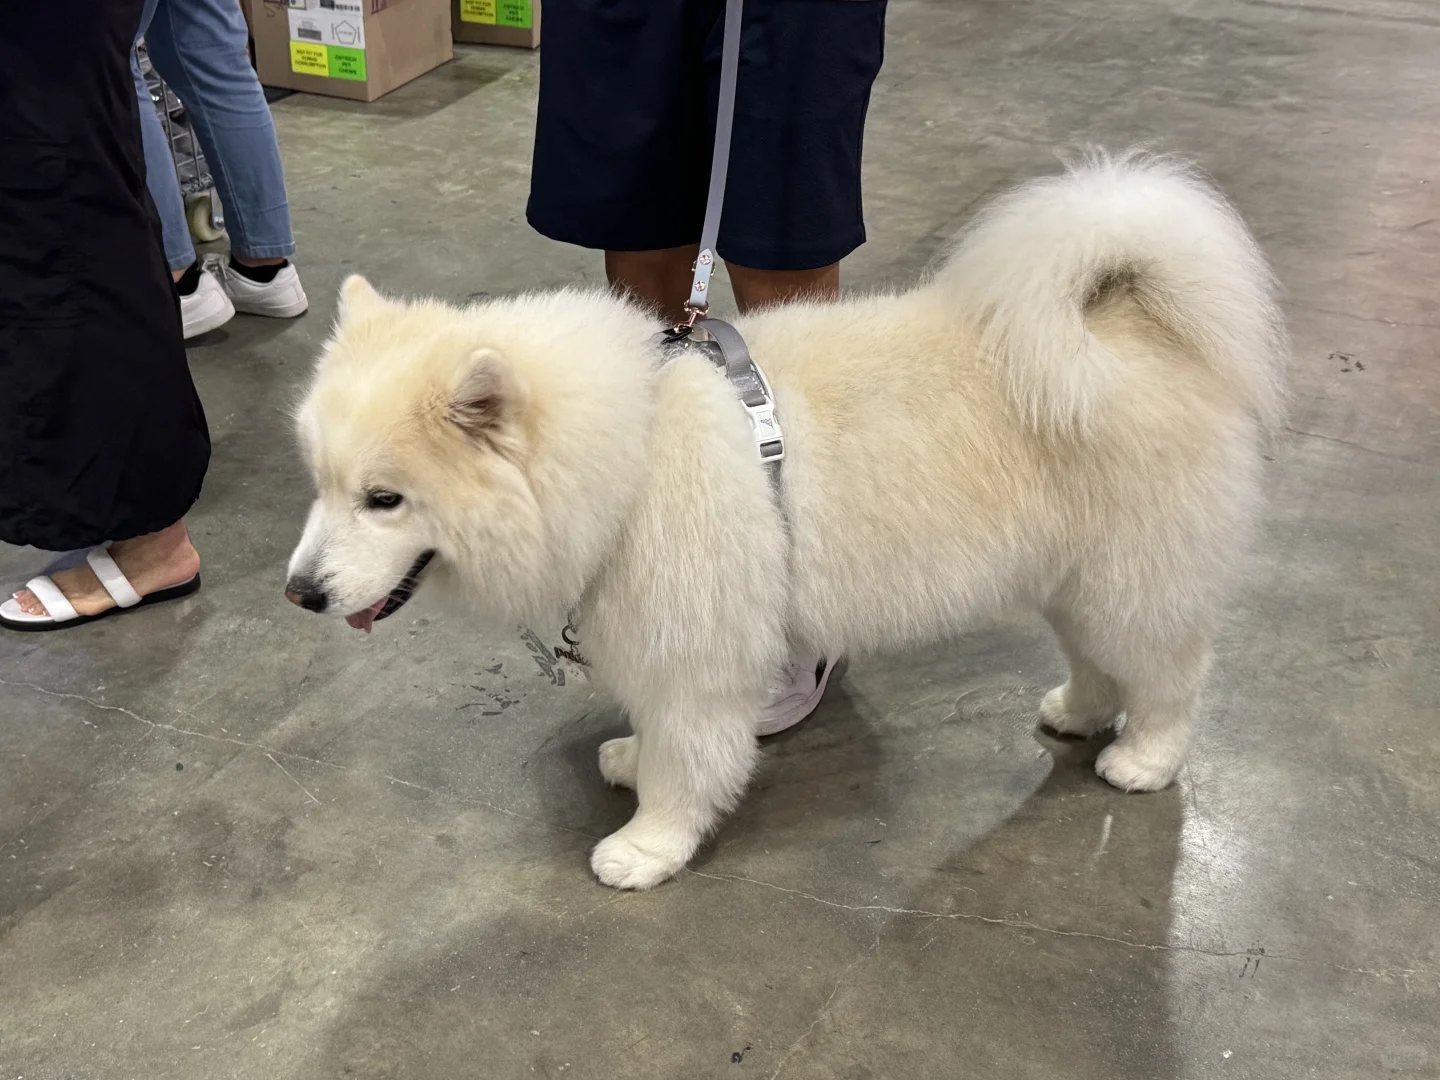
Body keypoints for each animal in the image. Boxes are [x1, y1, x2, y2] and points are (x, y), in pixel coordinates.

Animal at [285, 152, 1287, 890]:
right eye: (321, 485)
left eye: (384, 499)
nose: (299, 593)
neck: (631, 455)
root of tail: (1126, 321)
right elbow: (657, 737)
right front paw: (630, 760)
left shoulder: (694, 655)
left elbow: (687, 761)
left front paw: (647, 845)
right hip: (1079, 581)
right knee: (1099, 663)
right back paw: (1077, 714)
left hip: (1136, 581)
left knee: (1171, 678)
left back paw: (1144, 760)